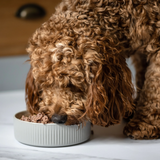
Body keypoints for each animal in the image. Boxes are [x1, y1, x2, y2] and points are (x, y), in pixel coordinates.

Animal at [25, 0, 160, 139]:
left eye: (74, 85)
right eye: (44, 84)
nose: (57, 118)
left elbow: (153, 91)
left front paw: (144, 124)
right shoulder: (140, 55)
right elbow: (141, 77)